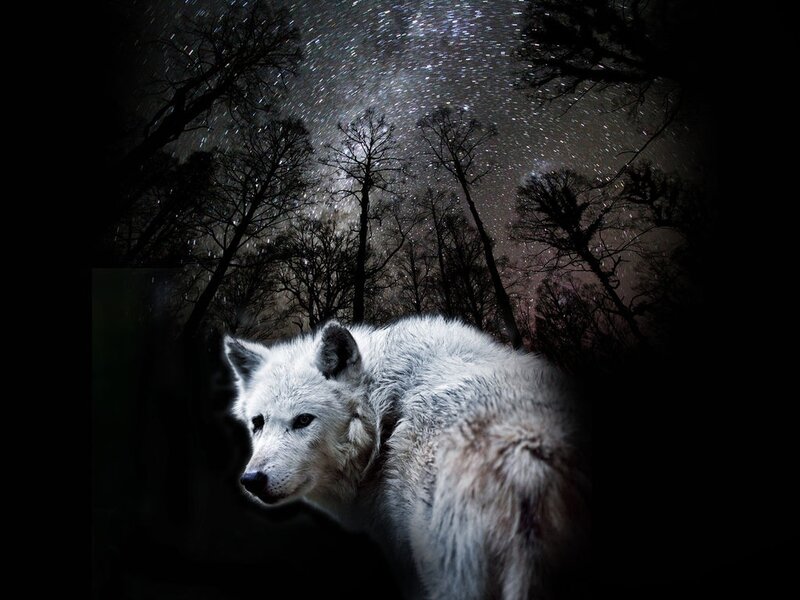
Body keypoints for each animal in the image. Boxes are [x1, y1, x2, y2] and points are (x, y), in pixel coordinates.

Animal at [224, 316, 588, 599]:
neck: (385, 416)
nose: (252, 480)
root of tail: (529, 461)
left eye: (303, 420)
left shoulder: (408, 565)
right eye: (258, 422)